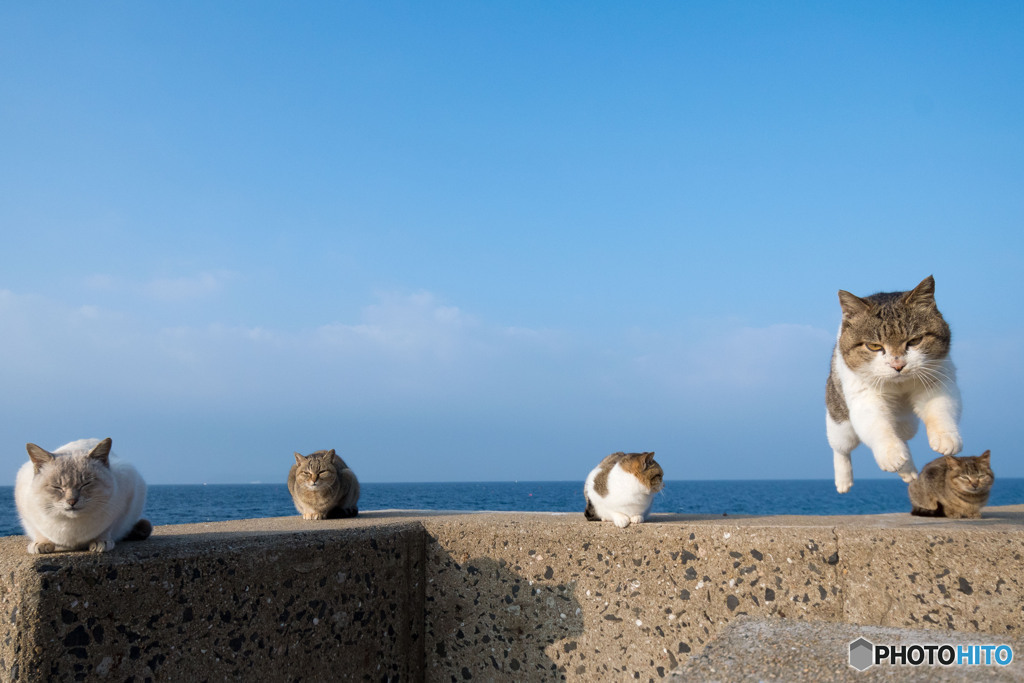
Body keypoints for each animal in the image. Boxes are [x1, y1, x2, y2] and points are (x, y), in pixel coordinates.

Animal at [14, 438, 150, 557]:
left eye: (86, 484)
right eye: (57, 487)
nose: (72, 501)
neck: (70, 526)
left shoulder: (125, 500)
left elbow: (106, 528)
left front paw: (101, 542)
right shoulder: (26, 513)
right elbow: (38, 531)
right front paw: (41, 543)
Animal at [823, 274, 958, 493]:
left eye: (915, 341)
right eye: (874, 346)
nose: (898, 365)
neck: (899, 385)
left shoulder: (937, 380)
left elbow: (939, 410)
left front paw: (946, 437)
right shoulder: (865, 398)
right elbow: (879, 427)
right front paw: (891, 454)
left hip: (908, 424)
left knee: (903, 436)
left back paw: (908, 469)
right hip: (841, 421)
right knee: (840, 447)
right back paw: (843, 480)